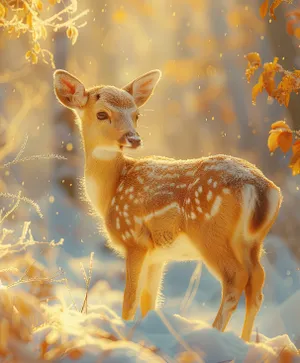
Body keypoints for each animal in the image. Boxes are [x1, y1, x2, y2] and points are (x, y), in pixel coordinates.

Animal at [53, 67, 282, 342]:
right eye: (101, 114)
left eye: (136, 114)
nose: (133, 139)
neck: (111, 190)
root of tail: (261, 187)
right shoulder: (157, 255)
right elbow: (148, 302)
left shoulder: (134, 239)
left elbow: (129, 301)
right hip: (253, 241)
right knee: (257, 282)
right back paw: (246, 341)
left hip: (211, 233)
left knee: (236, 278)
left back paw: (214, 333)